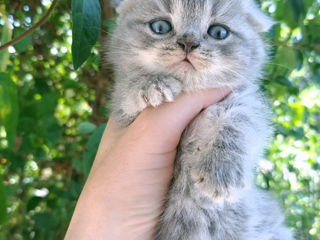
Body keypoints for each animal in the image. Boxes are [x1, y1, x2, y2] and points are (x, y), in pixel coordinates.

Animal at [107, 0, 292, 239]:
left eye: (219, 32)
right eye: (160, 27)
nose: (188, 42)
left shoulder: (246, 101)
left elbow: (240, 122)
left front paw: (221, 171)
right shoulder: (123, 117)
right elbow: (126, 95)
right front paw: (149, 83)